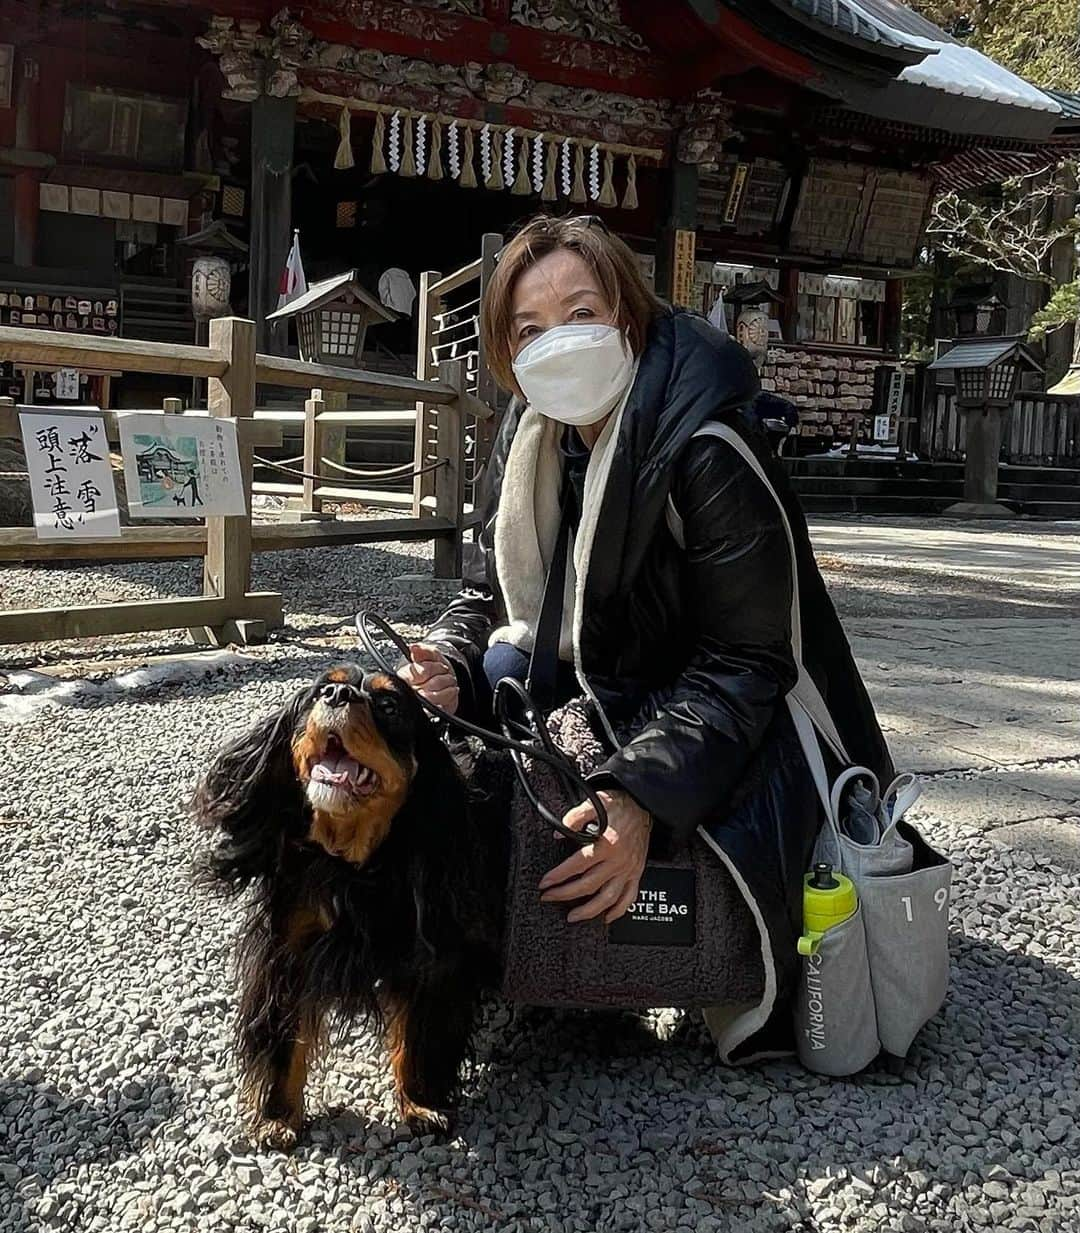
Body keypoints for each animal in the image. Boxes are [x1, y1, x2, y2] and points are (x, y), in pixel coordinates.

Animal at [196, 665, 503, 1144]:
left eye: (390, 706)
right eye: (322, 690)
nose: (338, 696)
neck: (353, 865)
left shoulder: (432, 955)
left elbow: (418, 1032)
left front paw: (420, 1104)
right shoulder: (287, 950)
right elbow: (283, 1034)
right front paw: (277, 1116)